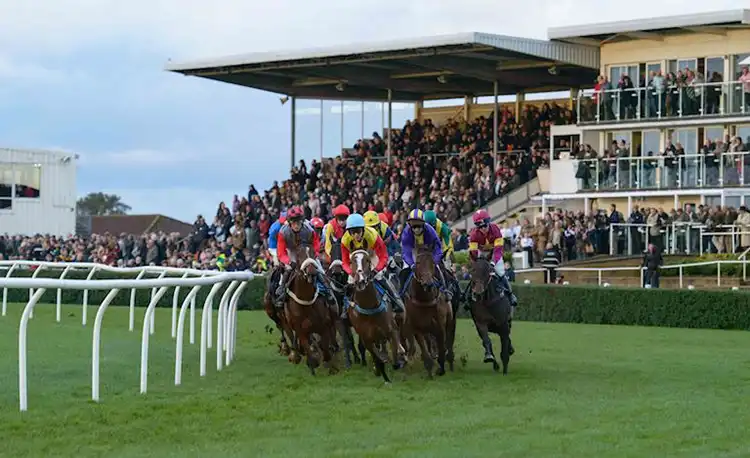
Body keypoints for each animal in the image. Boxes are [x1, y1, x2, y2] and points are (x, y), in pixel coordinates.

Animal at [284, 245, 338, 374]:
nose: (312, 272)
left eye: (314, 254)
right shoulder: (301, 330)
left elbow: (325, 347)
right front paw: (312, 363)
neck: (306, 301)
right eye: (299, 256)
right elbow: (308, 348)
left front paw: (331, 367)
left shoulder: (324, 326)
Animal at [346, 249, 406, 384]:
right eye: (352, 261)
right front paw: (378, 369)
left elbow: (396, 355)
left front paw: (400, 358)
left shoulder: (391, 330)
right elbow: (376, 357)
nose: (361, 281)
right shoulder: (366, 338)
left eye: (367, 260)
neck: (370, 307)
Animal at [406, 245, 452, 378]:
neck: (424, 299)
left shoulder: (440, 326)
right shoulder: (416, 327)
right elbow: (424, 348)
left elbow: (442, 346)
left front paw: (441, 368)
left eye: (432, 263)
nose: (428, 284)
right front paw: (429, 367)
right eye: (417, 263)